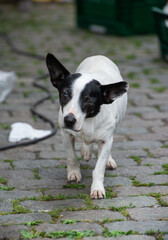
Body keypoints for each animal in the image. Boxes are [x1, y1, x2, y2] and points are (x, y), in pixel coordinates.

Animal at [45, 54, 128, 199]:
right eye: (65, 94)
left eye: (88, 99)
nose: (69, 120)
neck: (88, 120)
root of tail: (98, 56)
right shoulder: (66, 134)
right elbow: (71, 156)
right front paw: (73, 173)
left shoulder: (106, 139)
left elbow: (99, 167)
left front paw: (97, 188)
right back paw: (86, 150)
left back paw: (108, 159)